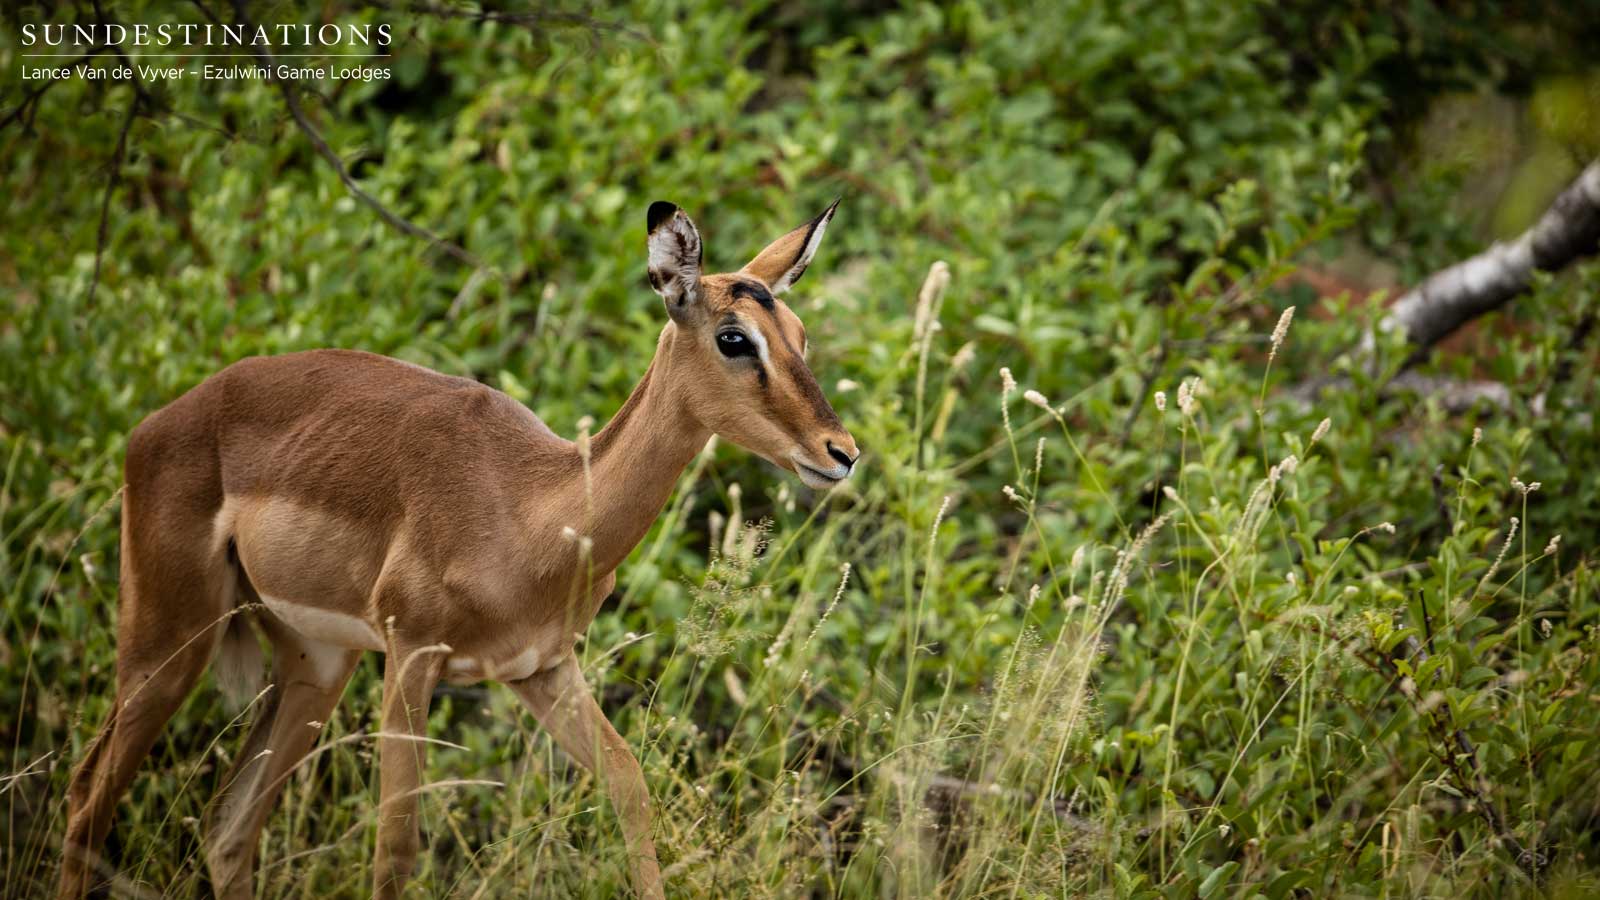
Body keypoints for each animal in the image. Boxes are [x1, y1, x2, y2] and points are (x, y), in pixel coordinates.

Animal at [58, 200, 858, 900]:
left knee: (227, 828)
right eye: (734, 338)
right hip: (168, 643)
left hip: (317, 663)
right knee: (86, 798)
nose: (842, 453)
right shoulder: (412, 653)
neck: (528, 509)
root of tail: (154, 426)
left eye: (798, 332)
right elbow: (395, 849)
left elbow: (631, 787)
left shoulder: (542, 668)